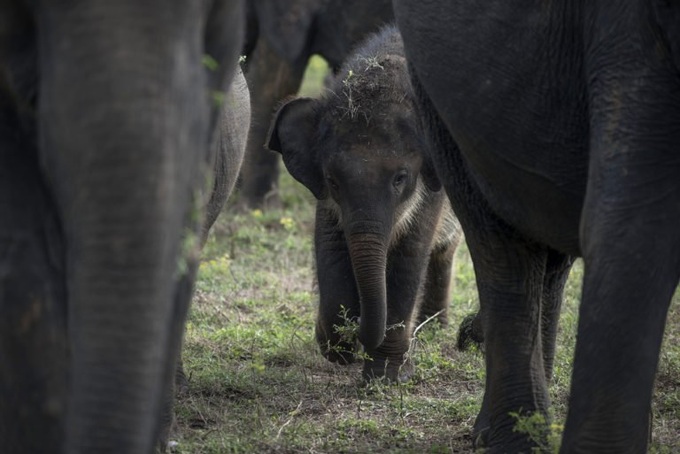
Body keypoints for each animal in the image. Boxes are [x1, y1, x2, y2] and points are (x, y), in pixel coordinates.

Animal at [267, 26, 463, 382]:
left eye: (401, 178)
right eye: (332, 180)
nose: (358, 332)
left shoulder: (433, 188)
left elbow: (410, 252)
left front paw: (387, 376)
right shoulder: (327, 199)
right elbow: (330, 242)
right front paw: (337, 346)